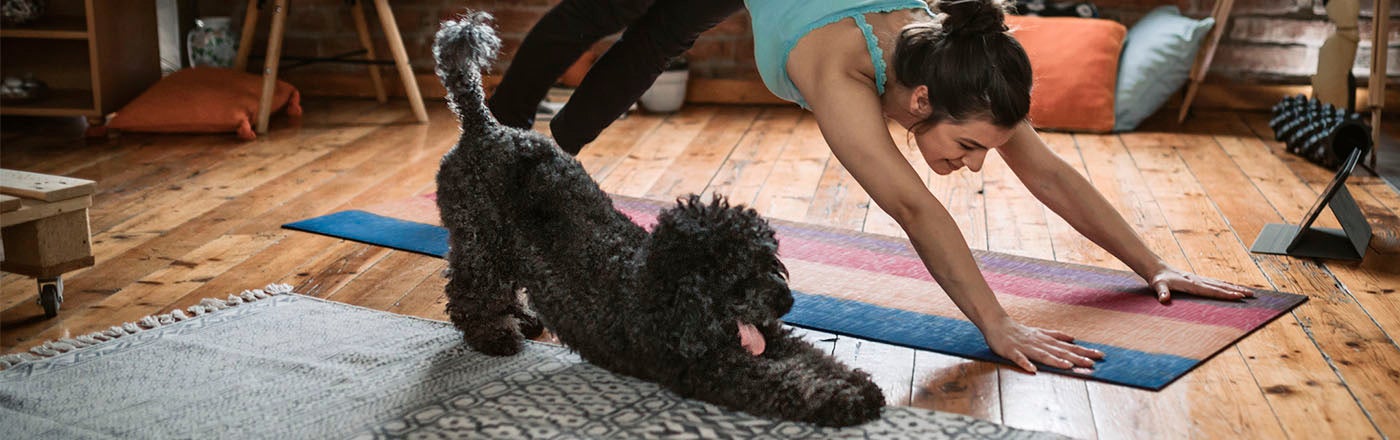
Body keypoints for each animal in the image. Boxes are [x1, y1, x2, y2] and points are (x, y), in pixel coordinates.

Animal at [431, 12, 879, 425]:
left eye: (770, 262)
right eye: (738, 276)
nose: (787, 301)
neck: (664, 292)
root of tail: (483, 127)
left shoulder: (770, 337)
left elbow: (813, 358)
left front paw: (856, 382)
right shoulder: (713, 368)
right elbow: (785, 382)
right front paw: (844, 400)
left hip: (499, 244)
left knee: (500, 289)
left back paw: (522, 319)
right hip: (479, 239)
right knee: (469, 294)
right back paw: (495, 335)